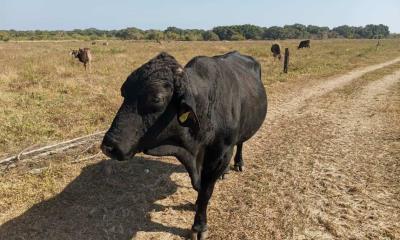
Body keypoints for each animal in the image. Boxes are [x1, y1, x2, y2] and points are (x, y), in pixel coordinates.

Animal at [101, 50, 268, 238]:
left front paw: (199, 226)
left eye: (156, 98)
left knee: (240, 144)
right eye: (124, 91)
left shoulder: (220, 152)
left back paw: (239, 163)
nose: (109, 146)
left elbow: (206, 191)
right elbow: (199, 186)